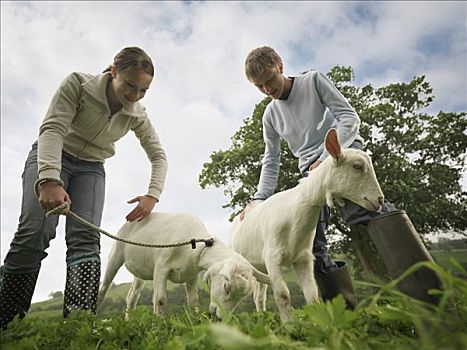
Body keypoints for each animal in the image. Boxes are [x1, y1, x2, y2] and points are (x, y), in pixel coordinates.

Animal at [98, 211, 270, 320]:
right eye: (227, 287)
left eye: (242, 298)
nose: (220, 317)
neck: (195, 246)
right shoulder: (161, 268)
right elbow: (160, 299)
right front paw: (158, 324)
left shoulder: (191, 275)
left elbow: (194, 301)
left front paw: (196, 321)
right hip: (116, 254)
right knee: (104, 288)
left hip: (140, 272)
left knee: (132, 296)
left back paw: (128, 320)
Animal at [232, 127, 386, 322]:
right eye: (357, 166)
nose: (379, 200)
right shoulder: (272, 257)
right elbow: (283, 294)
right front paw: (288, 326)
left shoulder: (303, 258)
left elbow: (312, 295)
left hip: (259, 265)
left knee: (259, 296)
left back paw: (263, 316)